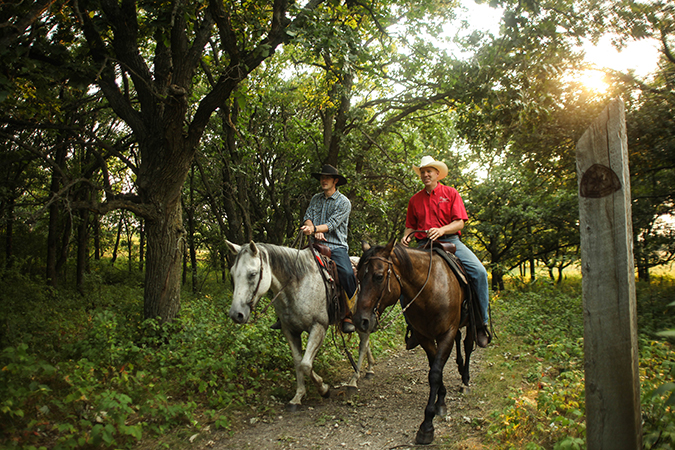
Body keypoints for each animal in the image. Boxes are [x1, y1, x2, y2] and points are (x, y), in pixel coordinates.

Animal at [227, 243, 374, 412]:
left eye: (252, 274)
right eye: (232, 273)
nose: (236, 314)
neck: (298, 283)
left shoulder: (318, 327)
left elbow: (305, 364)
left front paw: (323, 389)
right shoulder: (290, 331)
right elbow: (298, 362)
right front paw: (297, 397)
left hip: (361, 320)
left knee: (363, 344)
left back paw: (354, 380)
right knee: (366, 344)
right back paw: (370, 369)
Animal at [354, 241, 476, 444]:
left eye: (378, 276)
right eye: (358, 276)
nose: (360, 321)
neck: (431, 290)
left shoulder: (446, 334)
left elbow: (435, 373)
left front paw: (427, 426)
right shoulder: (424, 336)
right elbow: (435, 369)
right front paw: (441, 401)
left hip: (472, 323)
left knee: (468, 344)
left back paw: (465, 380)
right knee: (460, 340)